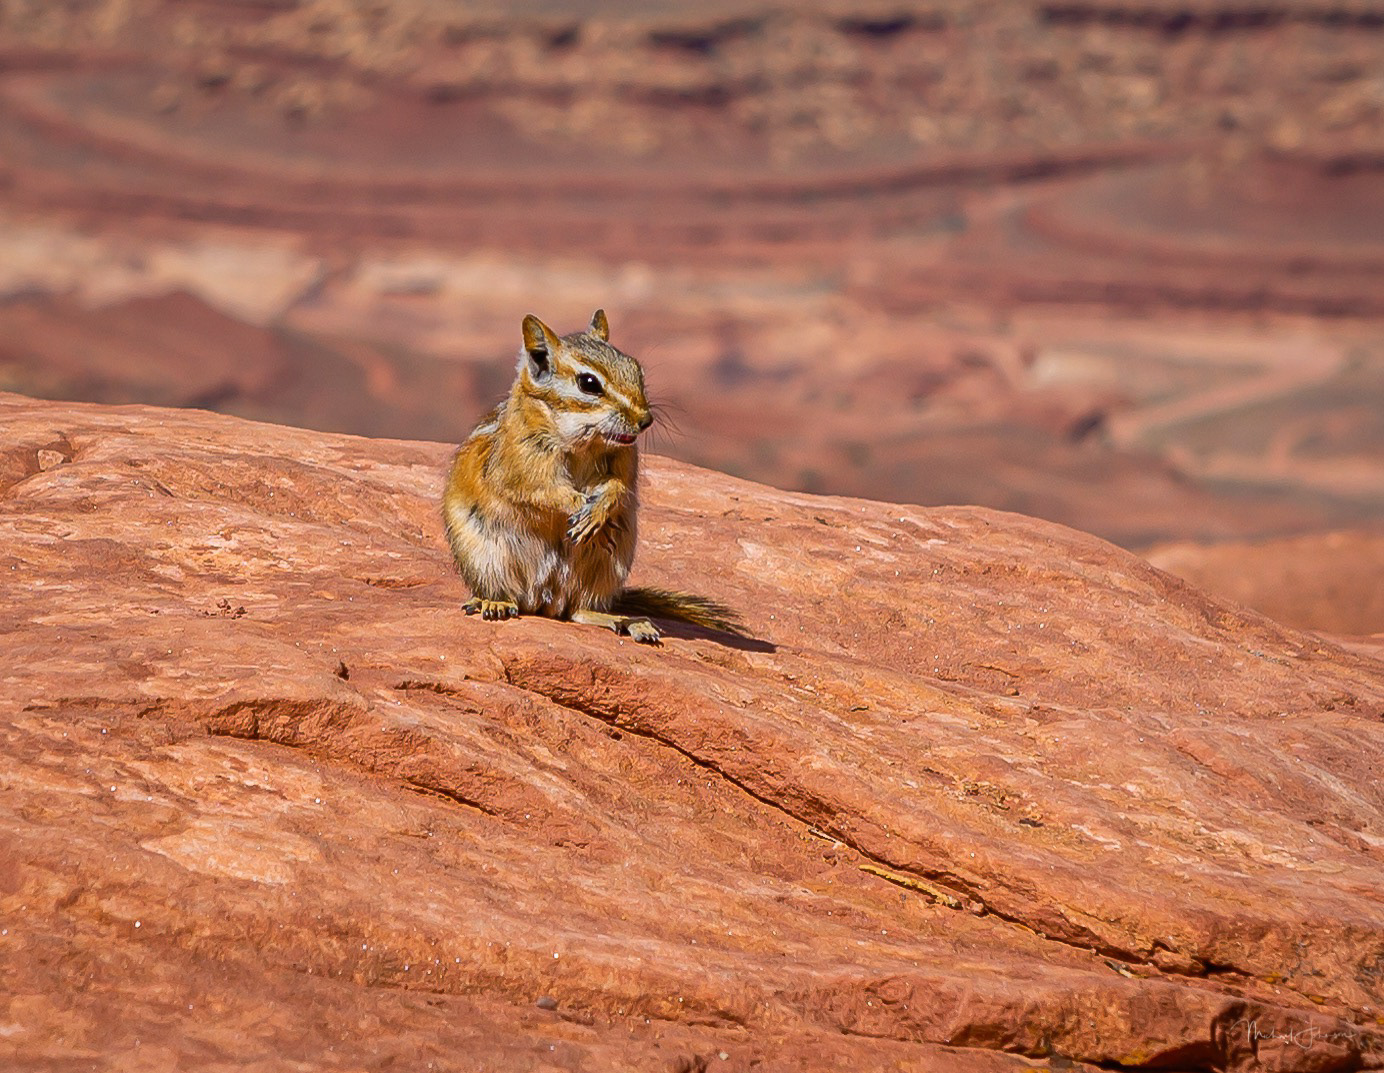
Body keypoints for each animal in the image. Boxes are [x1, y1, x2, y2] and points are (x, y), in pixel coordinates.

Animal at [442, 309, 741, 644]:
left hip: (605, 567)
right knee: (510, 596)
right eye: (588, 383)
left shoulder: (624, 462)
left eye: (636, 369)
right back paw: (494, 603)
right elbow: (542, 489)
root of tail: (543, 601)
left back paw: (629, 621)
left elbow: (620, 487)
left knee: (578, 611)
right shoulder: (521, 461)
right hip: (487, 559)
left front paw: (599, 512)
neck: (584, 441)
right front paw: (579, 506)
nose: (645, 420)